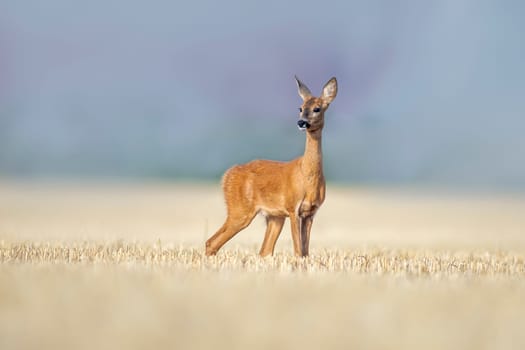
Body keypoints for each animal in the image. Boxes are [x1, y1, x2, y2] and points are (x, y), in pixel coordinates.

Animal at [205, 76, 336, 258]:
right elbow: (298, 251)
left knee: (264, 251)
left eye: (317, 108)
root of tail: (227, 175)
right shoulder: (292, 207)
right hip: (240, 210)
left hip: (274, 217)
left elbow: (305, 252)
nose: (301, 122)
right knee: (211, 242)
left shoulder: (310, 212)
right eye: (300, 108)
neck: (307, 176)